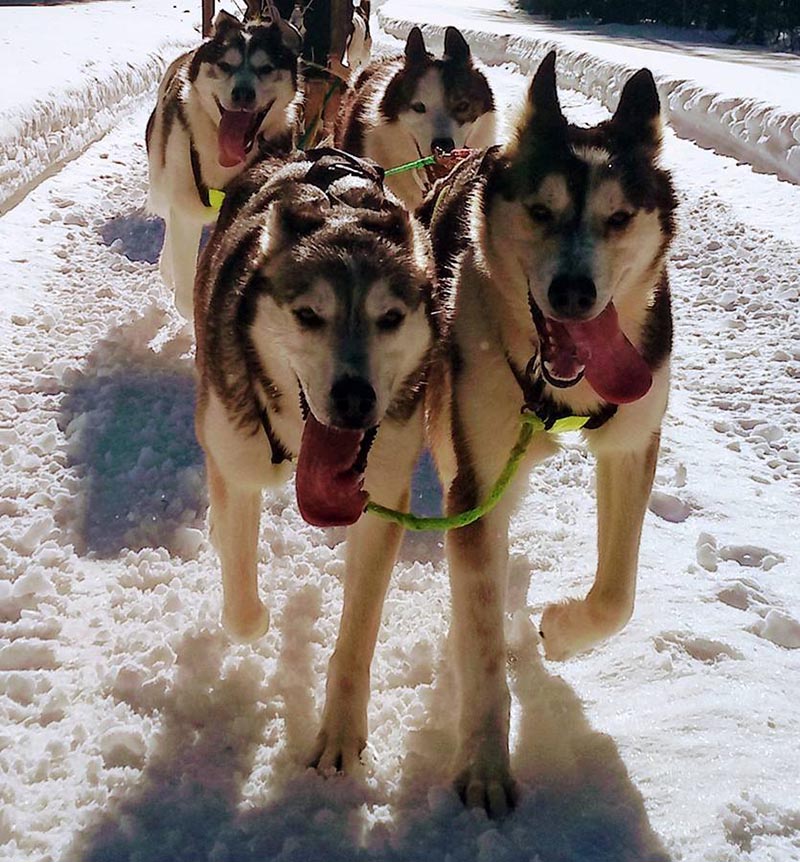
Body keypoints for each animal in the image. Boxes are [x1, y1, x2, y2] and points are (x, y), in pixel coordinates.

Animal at [195, 148, 438, 768]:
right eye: (308, 315)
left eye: (390, 317)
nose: (354, 398)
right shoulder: (238, 463)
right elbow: (242, 606)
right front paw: (253, 616)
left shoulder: (382, 502)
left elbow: (357, 636)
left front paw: (341, 733)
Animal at [418, 54, 676, 816]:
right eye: (541, 211)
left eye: (618, 217)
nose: (572, 292)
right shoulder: (476, 476)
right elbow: (481, 648)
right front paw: (483, 763)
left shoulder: (631, 444)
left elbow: (617, 595)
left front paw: (562, 631)